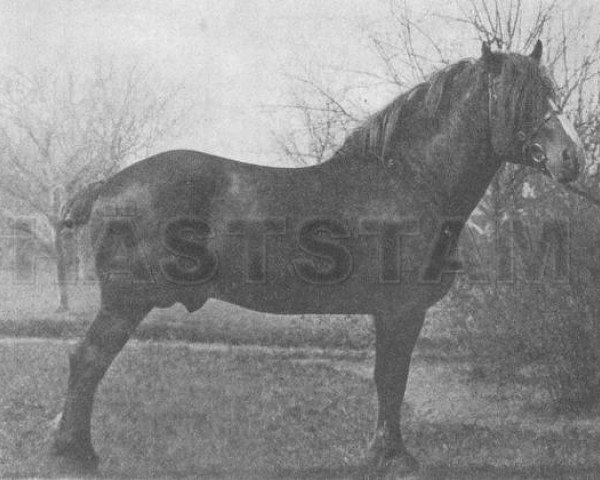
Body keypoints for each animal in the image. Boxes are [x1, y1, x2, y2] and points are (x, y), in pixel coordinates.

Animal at [51, 42, 584, 476]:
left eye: (550, 90)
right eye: (521, 98)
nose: (573, 157)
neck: (410, 181)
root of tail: (109, 183)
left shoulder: (392, 313)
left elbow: (388, 378)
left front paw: (382, 452)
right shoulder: (401, 311)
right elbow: (392, 378)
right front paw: (394, 456)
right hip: (125, 303)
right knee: (88, 359)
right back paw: (77, 453)